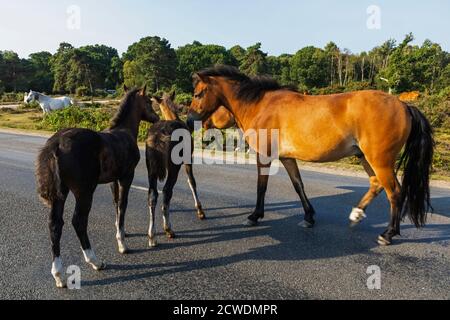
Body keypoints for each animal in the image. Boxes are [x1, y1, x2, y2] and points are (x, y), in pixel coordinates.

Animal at [188, 65, 434, 245]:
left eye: (198, 94)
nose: (190, 120)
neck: (261, 105)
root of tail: (403, 105)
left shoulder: (265, 156)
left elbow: (261, 187)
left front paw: (255, 216)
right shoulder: (287, 158)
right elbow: (298, 185)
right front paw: (308, 217)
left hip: (379, 160)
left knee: (395, 193)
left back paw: (388, 233)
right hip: (366, 158)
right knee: (376, 184)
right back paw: (356, 214)